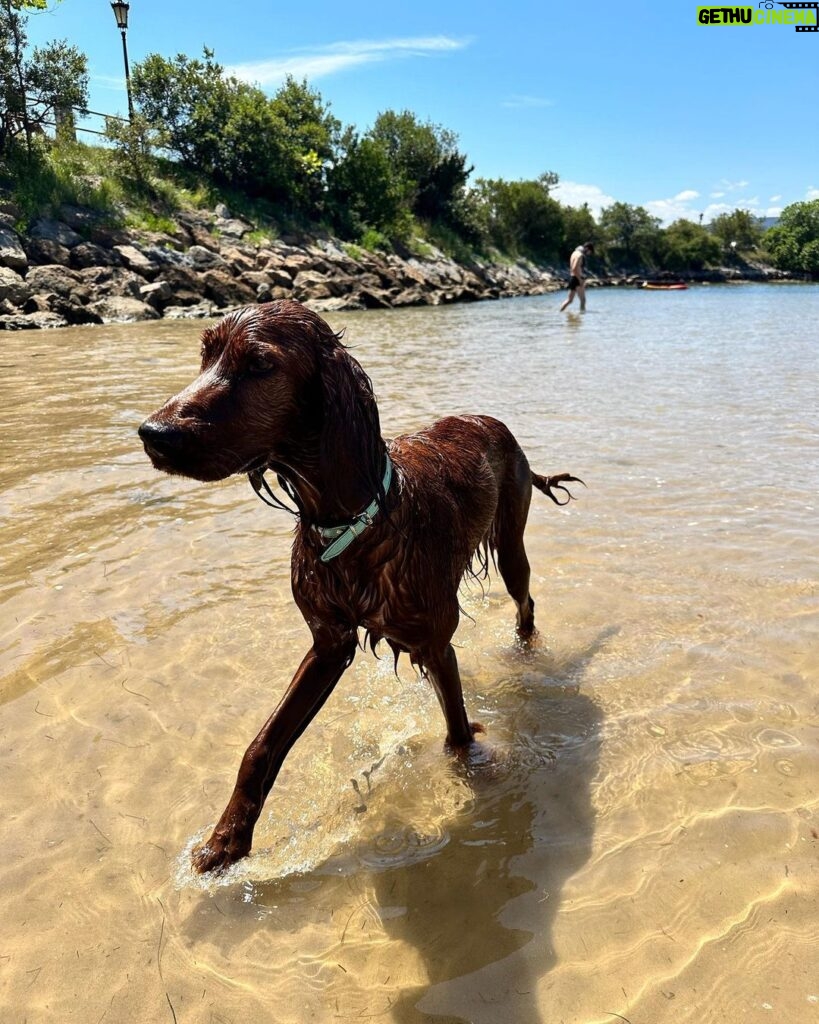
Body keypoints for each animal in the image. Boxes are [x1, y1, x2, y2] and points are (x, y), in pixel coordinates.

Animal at [137, 299, 577, 876]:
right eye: (206, 354)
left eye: (260, 364)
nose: (152, 433)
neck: (352, 523)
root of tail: (489, 418)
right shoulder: (329, 644)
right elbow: (261, 747)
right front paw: (226, 840)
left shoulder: (435, 644)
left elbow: (458, 735)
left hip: (510, 546)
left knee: (526, 600)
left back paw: (526, 650)